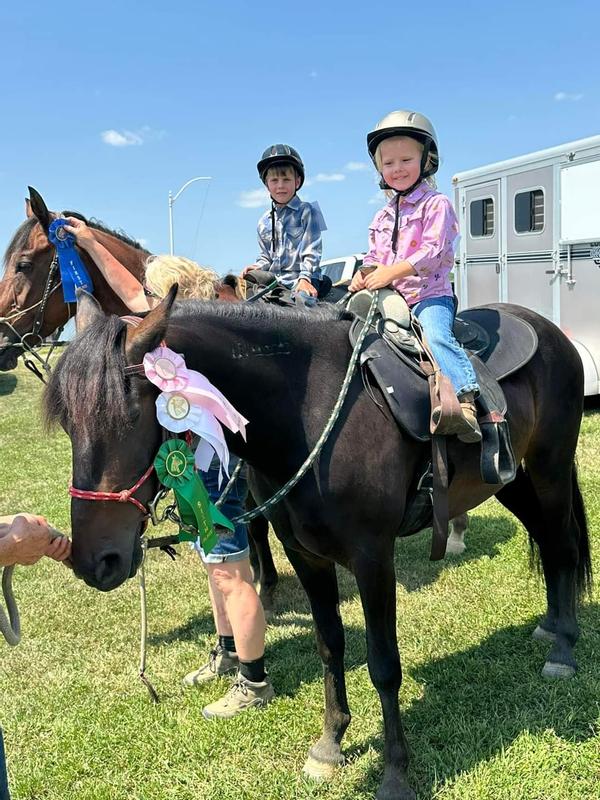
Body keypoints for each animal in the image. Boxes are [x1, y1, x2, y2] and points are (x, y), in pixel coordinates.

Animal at [44, 287, 591, 800]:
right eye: (69, 423)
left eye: (130, 417)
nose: (95, 561)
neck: (308, 412)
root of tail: (550, 331)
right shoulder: (304, 554)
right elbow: (330, 645)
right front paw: (330, 745)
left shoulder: (373, 558)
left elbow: (384, 665)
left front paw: (395, 772)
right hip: (509, 481)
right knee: (547, 543)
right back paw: (549, 625)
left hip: (549, 470)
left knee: (562, 546)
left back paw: (564, 649)